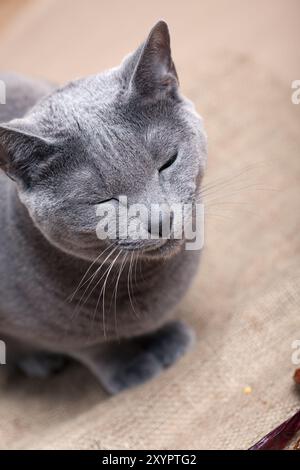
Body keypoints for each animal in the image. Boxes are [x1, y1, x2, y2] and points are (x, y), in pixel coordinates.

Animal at [0, 21, 206, 392]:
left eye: (167, 162)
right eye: (102, 201)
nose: (159, 219)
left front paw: (166, 339)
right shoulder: (66, 335)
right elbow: (94, 347)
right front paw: (131, 367)